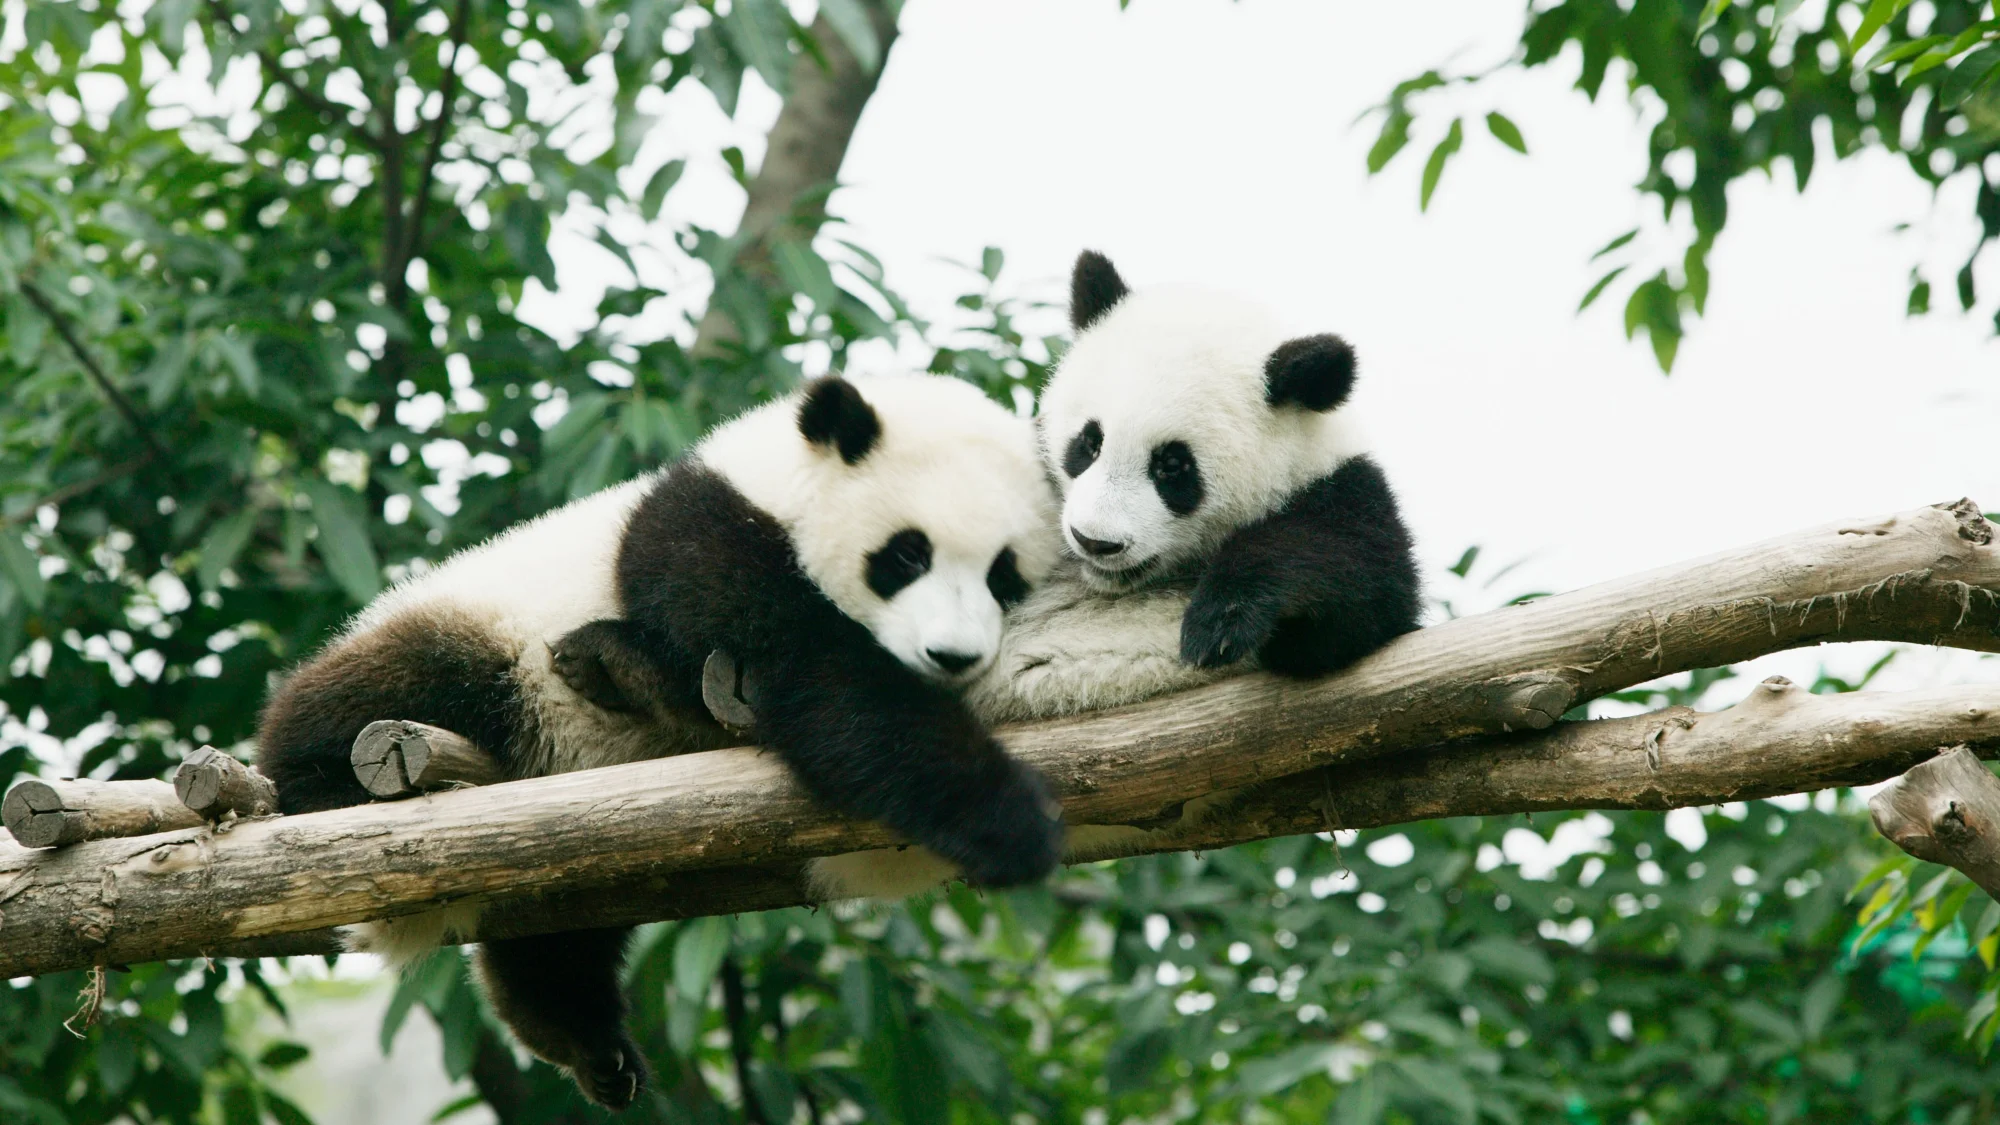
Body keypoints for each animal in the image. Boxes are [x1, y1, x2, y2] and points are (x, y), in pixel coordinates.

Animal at [255, 373, 1065, 1110]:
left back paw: (584, 1039)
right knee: (377, 692)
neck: (777, 483)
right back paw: (322, 781)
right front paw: (1009, 820)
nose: (953, 656)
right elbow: (824, 680)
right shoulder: (705, 539)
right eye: (906, 556)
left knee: (557, 933)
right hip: (479, 643)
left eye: (1004, 576)